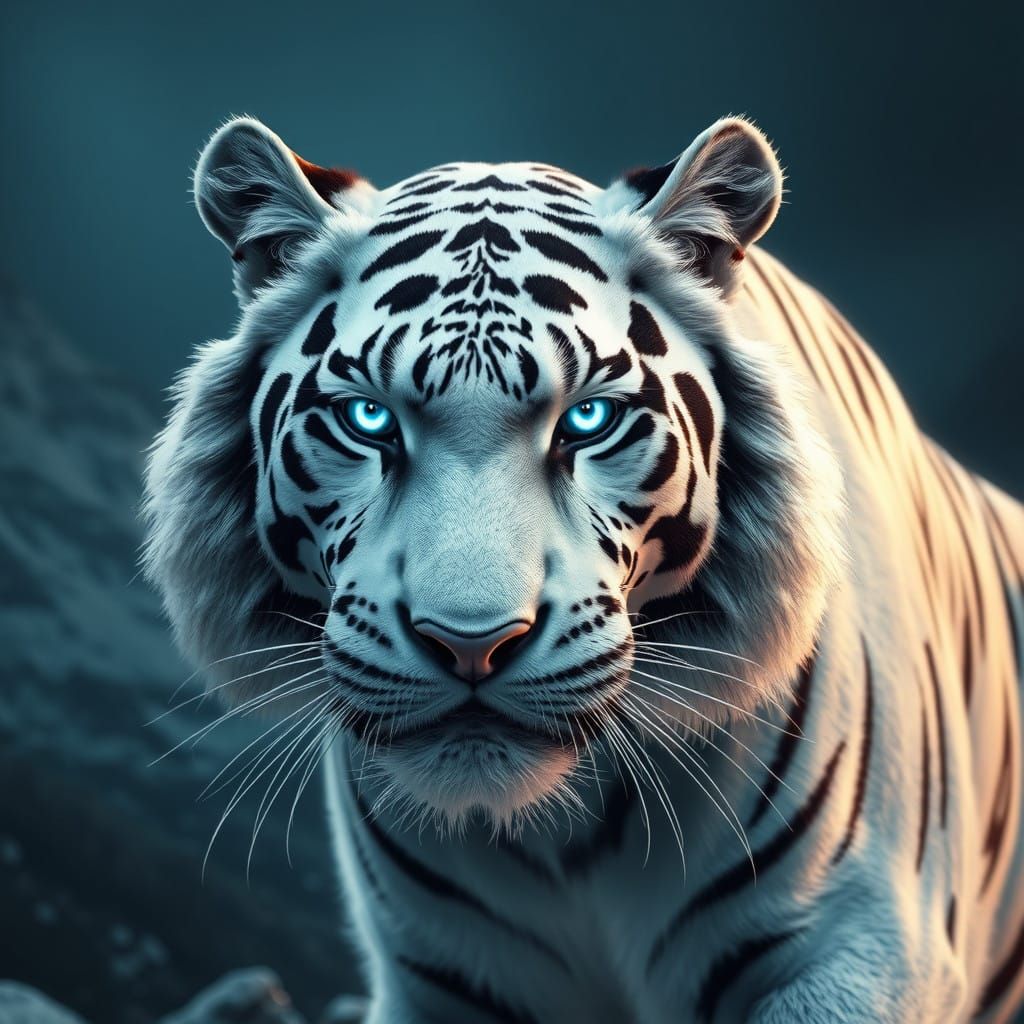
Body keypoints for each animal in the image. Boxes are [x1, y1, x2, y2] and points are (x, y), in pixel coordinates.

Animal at [142, 114, 1024, 1023]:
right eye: (368, 419)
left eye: (589, 419)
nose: (470, 644)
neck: (564, 837)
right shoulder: (440, 980)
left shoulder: (858, 943)